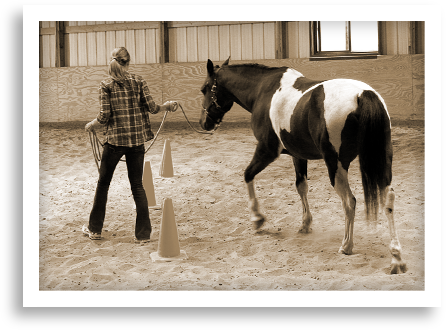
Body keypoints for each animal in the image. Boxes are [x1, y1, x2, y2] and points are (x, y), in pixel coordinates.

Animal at [200, 58, 406, 274]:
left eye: (204, 89)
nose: (204, 123)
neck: (263, 91)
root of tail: (364, 95)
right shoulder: (298, 155)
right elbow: (301, 186)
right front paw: (305, 224)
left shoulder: (267, 150)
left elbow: (248, 175)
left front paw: (257, 219)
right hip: (382, 162)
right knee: (388, 201)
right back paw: (396, 258)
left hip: (335, 165)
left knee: (349, 202)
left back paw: (347, 245)